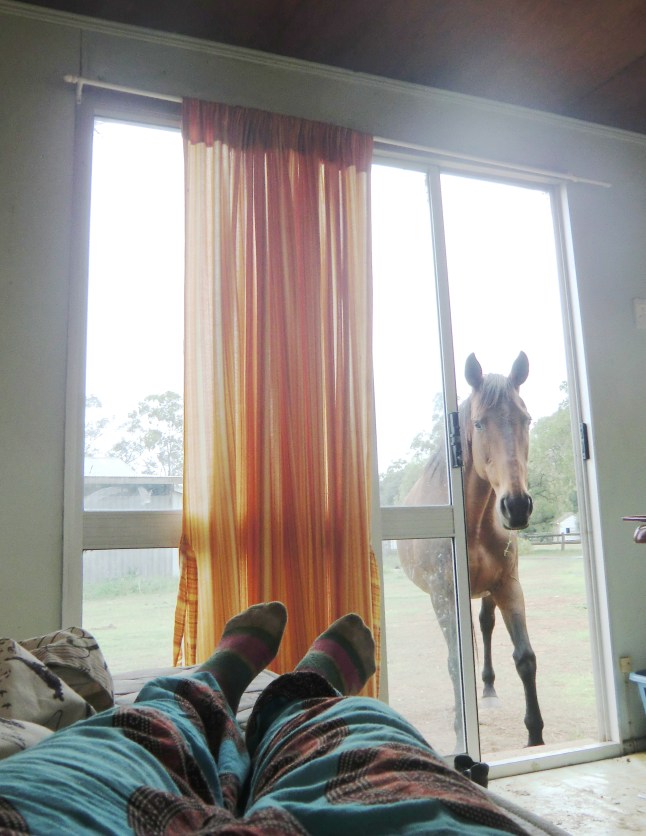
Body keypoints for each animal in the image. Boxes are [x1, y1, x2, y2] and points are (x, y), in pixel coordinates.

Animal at [398, 351, 544, 748]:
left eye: (526, 419)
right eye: (479, 423)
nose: (517, 506)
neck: (474, 522)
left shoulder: (508, 586)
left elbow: (525, 658)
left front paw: (535, 736)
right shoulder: (444, 595)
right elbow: (454, 661)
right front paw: (459, 727)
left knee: (486, 625)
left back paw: (489, 691)